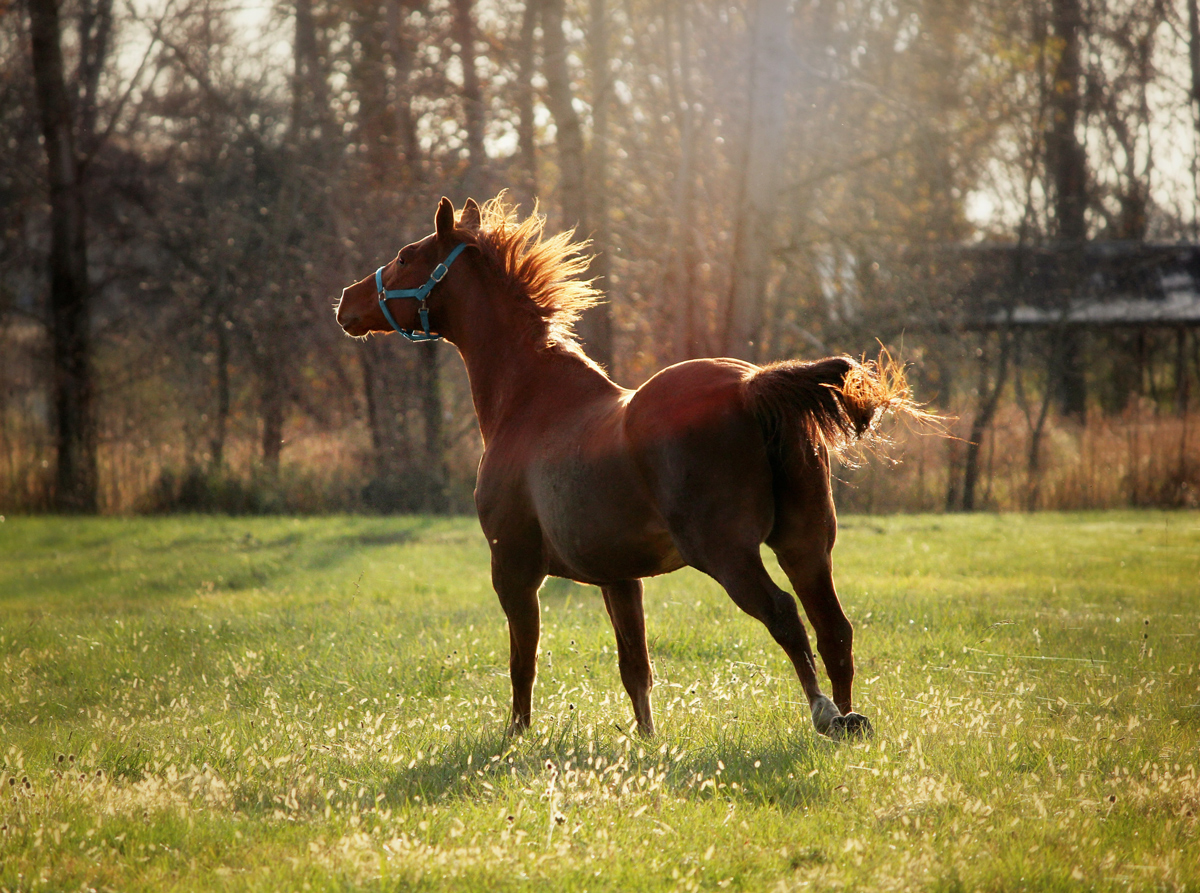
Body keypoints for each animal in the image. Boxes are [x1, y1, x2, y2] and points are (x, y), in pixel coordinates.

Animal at [333, 193, 912, 739]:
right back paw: (850, 717)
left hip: (728, 553)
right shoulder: (618, 576)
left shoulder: (513, 571)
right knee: (834, 629)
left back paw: (825, 713)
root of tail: (752, 386)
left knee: (786, 617)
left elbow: (524, 663)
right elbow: (636, 667)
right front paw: (648, 740)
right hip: (805, 545)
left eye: (406, 256)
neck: (529, 402)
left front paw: (516, 735)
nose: (346, 302)